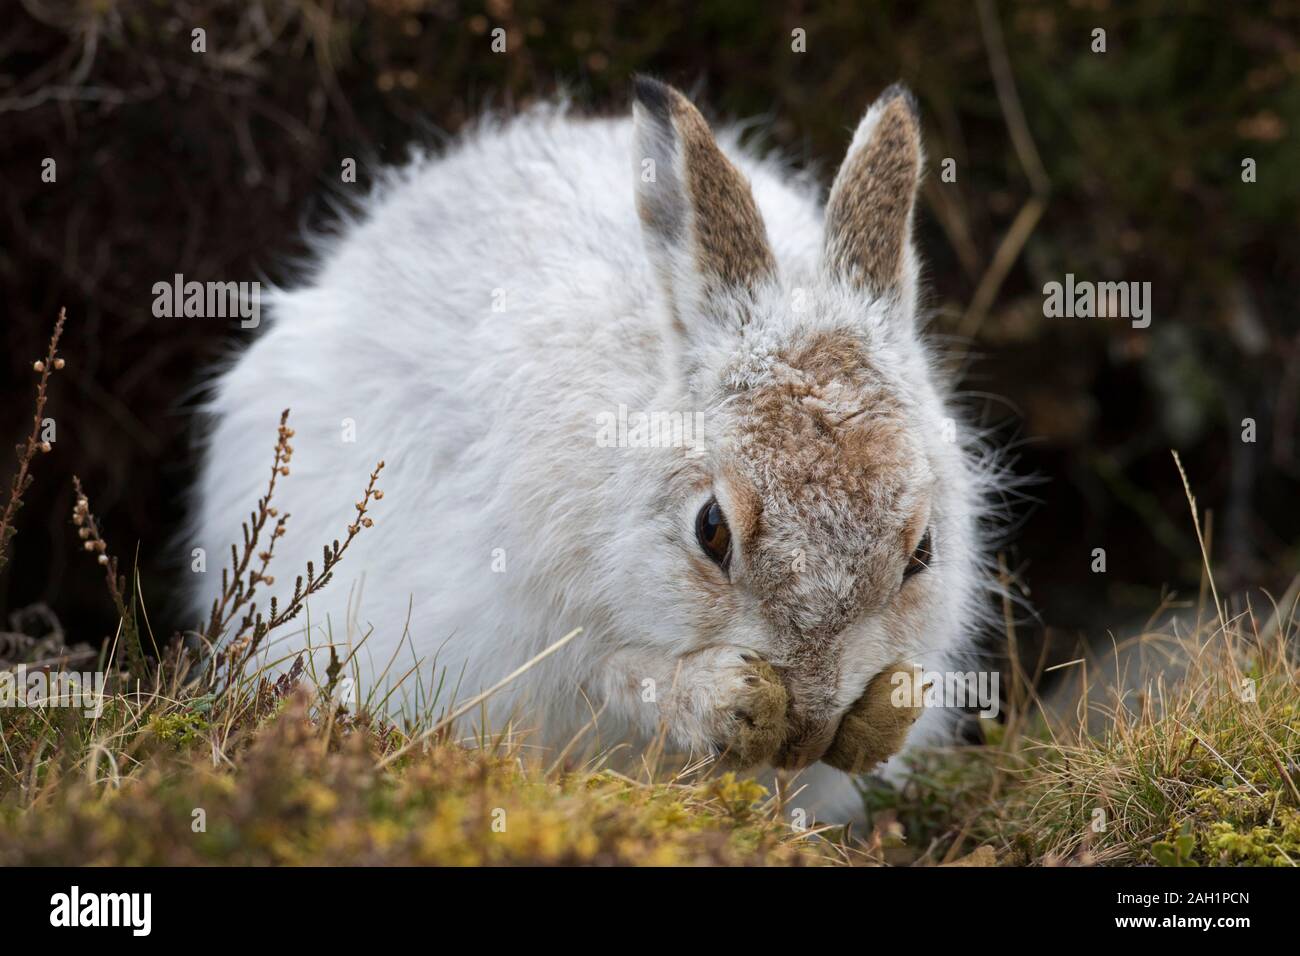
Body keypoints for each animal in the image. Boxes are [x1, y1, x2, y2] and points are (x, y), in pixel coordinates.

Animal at [189, 77, 1006, 823]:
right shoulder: (536, 641)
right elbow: (617, 680)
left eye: (923, 552)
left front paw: (886, 713)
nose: (806, 730)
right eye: (711, 530)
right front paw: (729, 699)